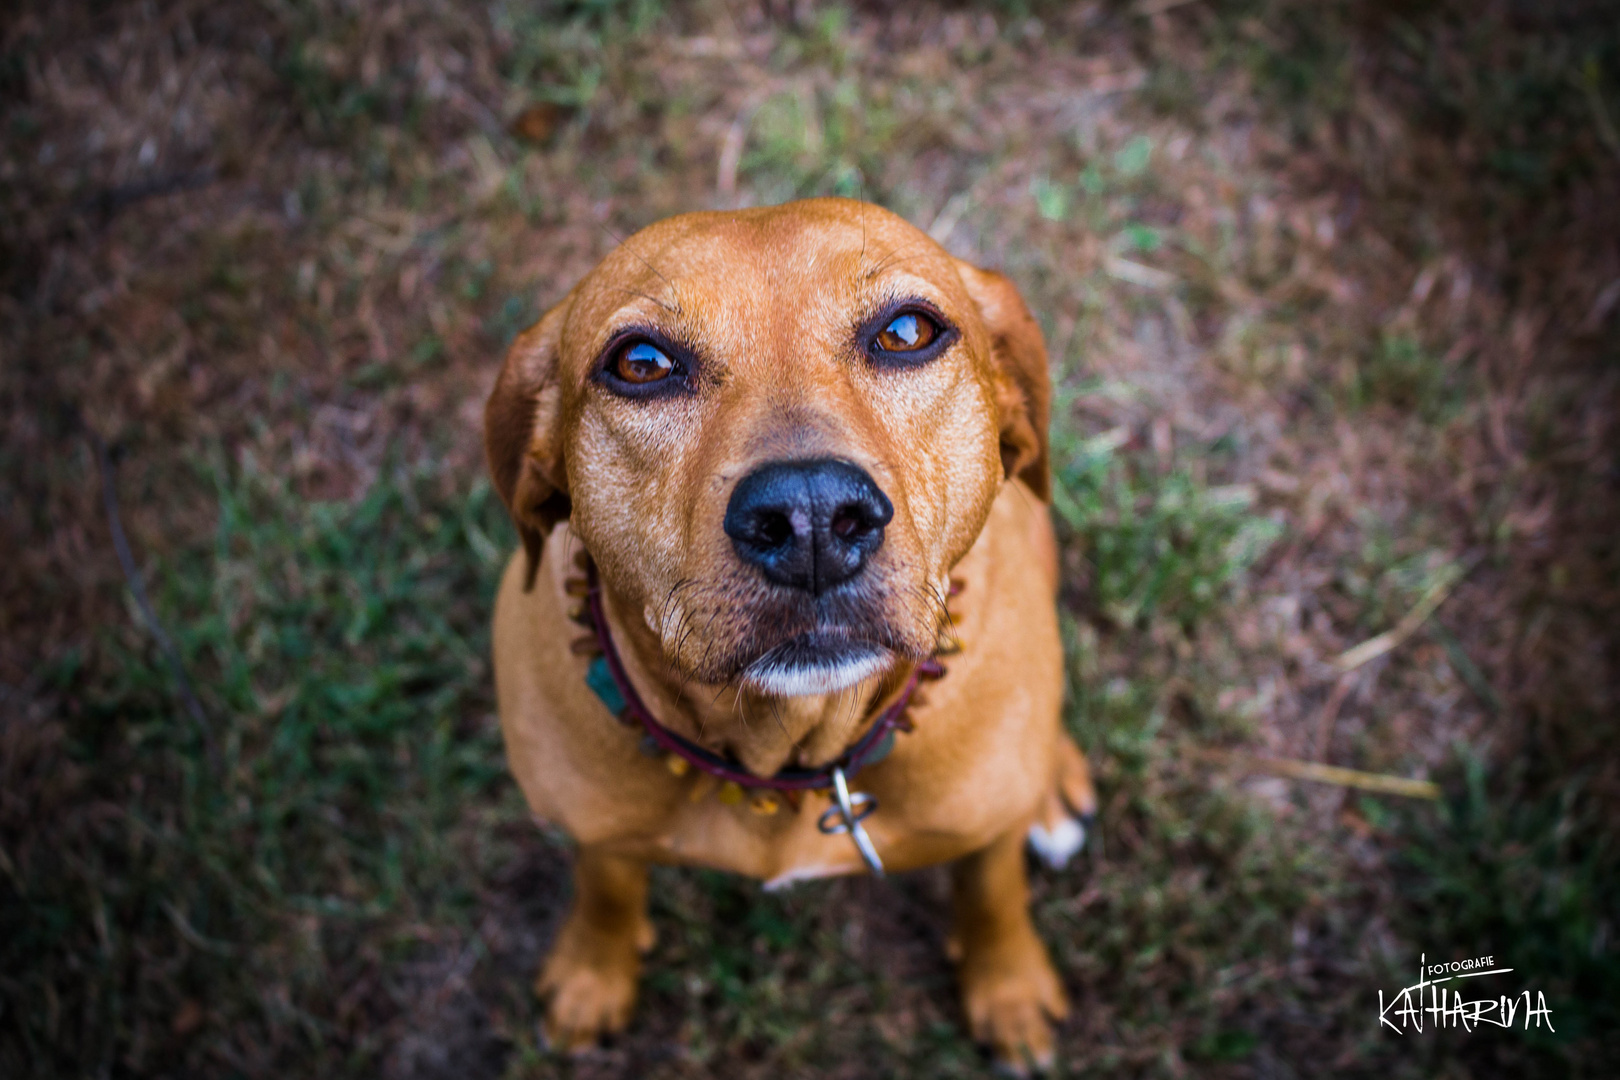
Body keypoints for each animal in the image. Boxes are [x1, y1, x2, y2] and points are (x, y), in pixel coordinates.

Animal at [479, 196, 1088, 1075]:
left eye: (908, 331)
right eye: (641, 363)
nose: (810, 518)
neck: (788, 751)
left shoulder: (984, 829)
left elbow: (993, 889)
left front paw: (1008, 989)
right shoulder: (595, 827)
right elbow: (606, 884)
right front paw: (593, 973)